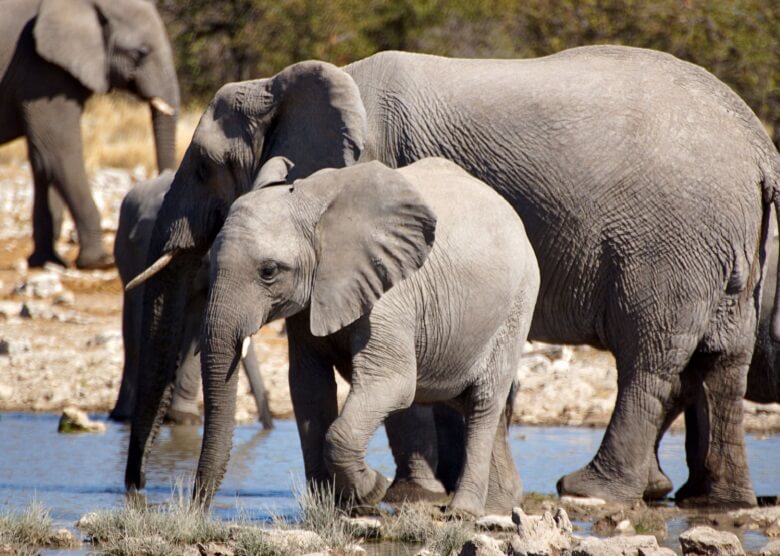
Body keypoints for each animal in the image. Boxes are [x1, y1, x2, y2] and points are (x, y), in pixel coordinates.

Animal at [0, 0, 178, 270]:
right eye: (141, 52)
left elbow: (42, 159)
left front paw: (47, 261)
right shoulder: (40, 68)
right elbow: (59, 153)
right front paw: (98, 261)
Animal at [198, 156, 540, 516]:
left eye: (269, 271)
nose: (199, 506)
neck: (311, 203)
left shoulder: (390, 293)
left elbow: (393, 383)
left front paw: (372, 489)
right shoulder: (310, 302)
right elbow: (308, 387)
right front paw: (331, 508)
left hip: (517, 305)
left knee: (483, 403)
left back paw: (463, 512)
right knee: (479, 406)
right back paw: (499, 508)